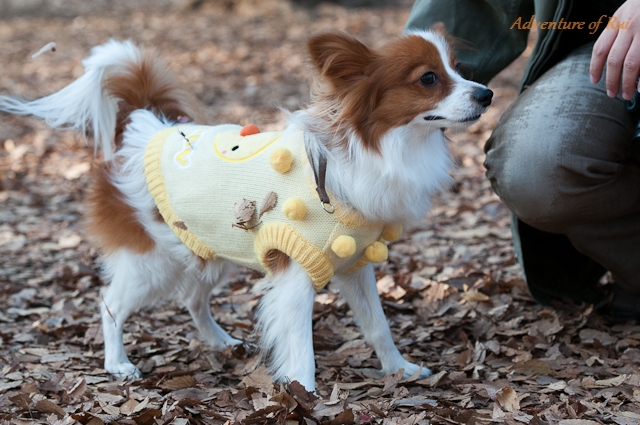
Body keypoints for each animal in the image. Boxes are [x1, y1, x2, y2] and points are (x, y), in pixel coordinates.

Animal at [0, 30, 492, 391]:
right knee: (110, 305)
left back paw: (219, 342)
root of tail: (144, 126)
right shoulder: (296, 273)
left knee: (193, 299)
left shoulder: (355, 265)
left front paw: (399, 369)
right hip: (151, 264)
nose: (487, 94)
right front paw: (304, 395)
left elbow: (378, 327)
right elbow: (301, 347)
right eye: (428, 79)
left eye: (459, 70)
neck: (373, 151)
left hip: (207, 249)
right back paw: (118, 363)